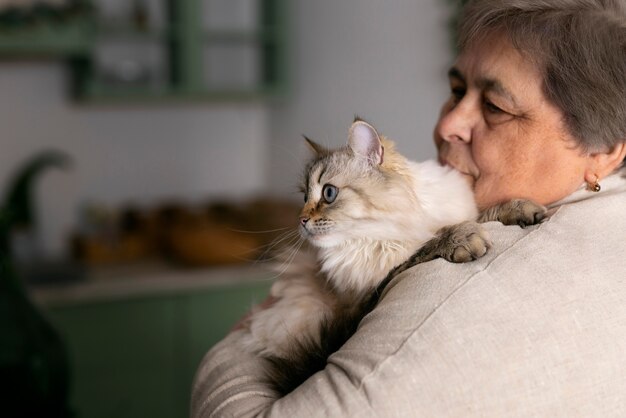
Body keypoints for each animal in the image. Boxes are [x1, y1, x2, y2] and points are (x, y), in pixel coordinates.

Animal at [236, 118, 544, 396]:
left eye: (329, 193)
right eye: (303, 198)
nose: (300, 220)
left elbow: (483, 215)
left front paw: (522, 209)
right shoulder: (363, 298)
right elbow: (425, 247)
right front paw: (461, 237)